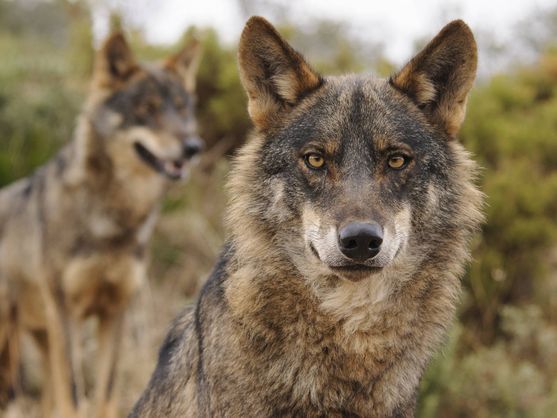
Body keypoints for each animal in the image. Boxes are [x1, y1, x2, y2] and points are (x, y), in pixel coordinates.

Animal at [0, 31, 204, 416]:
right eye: (147, 109)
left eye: (181, 108)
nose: (193, 147)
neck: (113, 220)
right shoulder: (66, 312)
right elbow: (74, 395)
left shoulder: (115, 311)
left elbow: (105, 392)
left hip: (42, 338)